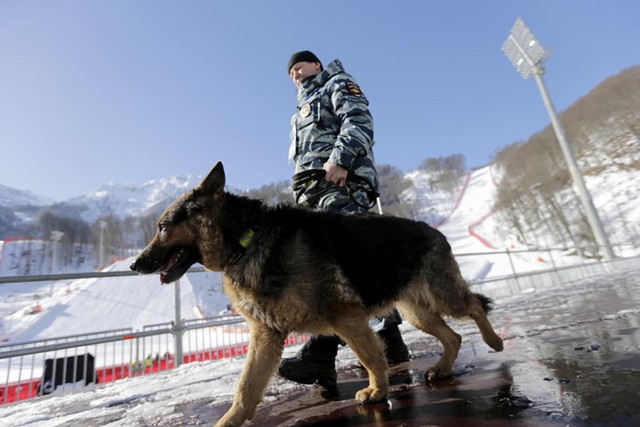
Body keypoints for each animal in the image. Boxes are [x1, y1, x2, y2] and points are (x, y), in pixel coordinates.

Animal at [130, 162, 504, 426]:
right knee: (453, 336)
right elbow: (246, 387)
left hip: (442, 297)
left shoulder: (347, 318)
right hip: (417, 311)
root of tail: (434, 230)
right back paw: (442, 368)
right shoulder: (266, 335)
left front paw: (377, 391)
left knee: (473, 305)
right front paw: (229, 421)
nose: (134, 265)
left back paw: (494, 341)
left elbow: (371, 357)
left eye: (162, 227)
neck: (245, 240)